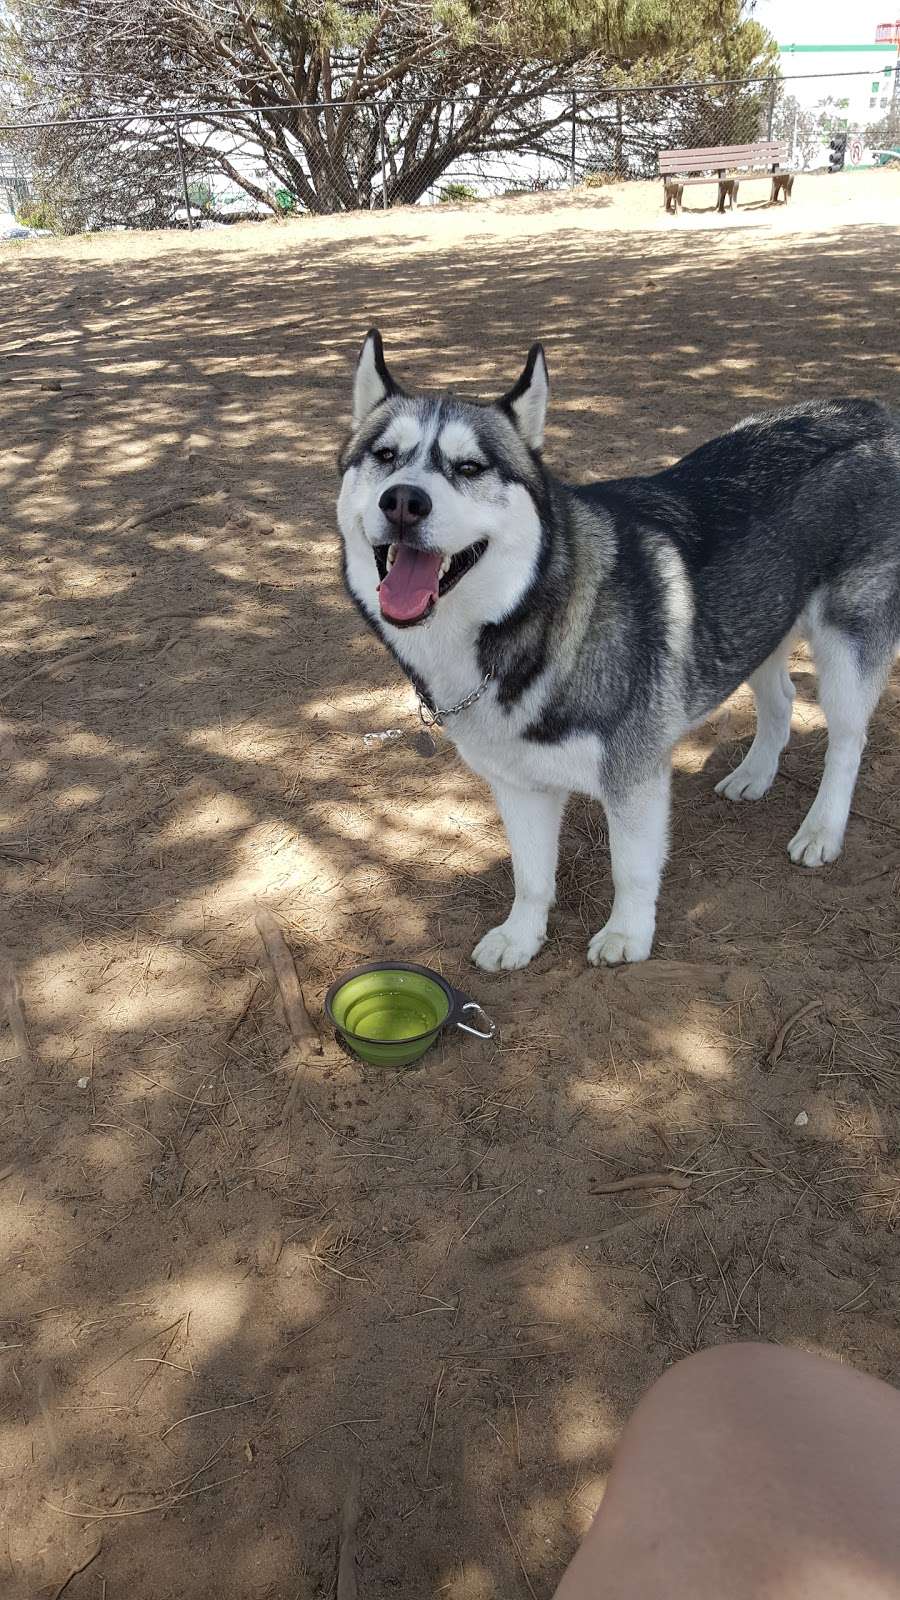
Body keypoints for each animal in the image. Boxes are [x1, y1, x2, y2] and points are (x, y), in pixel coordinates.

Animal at [337, 331, 896, 966]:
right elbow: (531, 876)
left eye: (470, 467)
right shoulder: (517, 783)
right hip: (758, 623)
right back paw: (755, 775)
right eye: (385, 455)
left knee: (847, 741)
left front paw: (628, 934)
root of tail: (873, 414)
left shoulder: (634, 778)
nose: (404, 501)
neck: (529, 618)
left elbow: (631, 868)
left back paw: (823, 829)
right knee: (779, 696)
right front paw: (521, 936)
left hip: (847, 646)